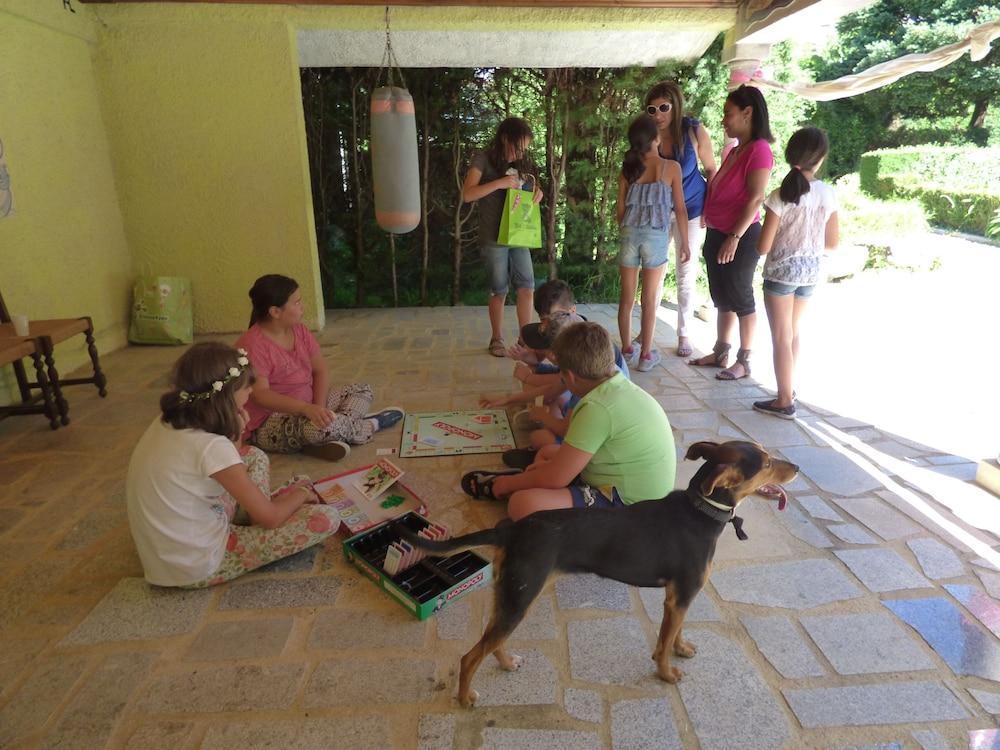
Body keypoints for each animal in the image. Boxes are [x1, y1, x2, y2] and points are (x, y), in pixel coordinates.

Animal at [398, 438, 796, 708]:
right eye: (765, 463)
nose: (795, 468)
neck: (701, 510)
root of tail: (511, 529)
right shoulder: (680, 596)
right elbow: (662, 643)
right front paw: (666, 673)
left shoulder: (680, 597)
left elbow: (676, 633)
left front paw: (681, 648)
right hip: (521, 594)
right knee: (470, 656)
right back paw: (466, 697)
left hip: (512, 592)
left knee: (492, 641)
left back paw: (507, 662)